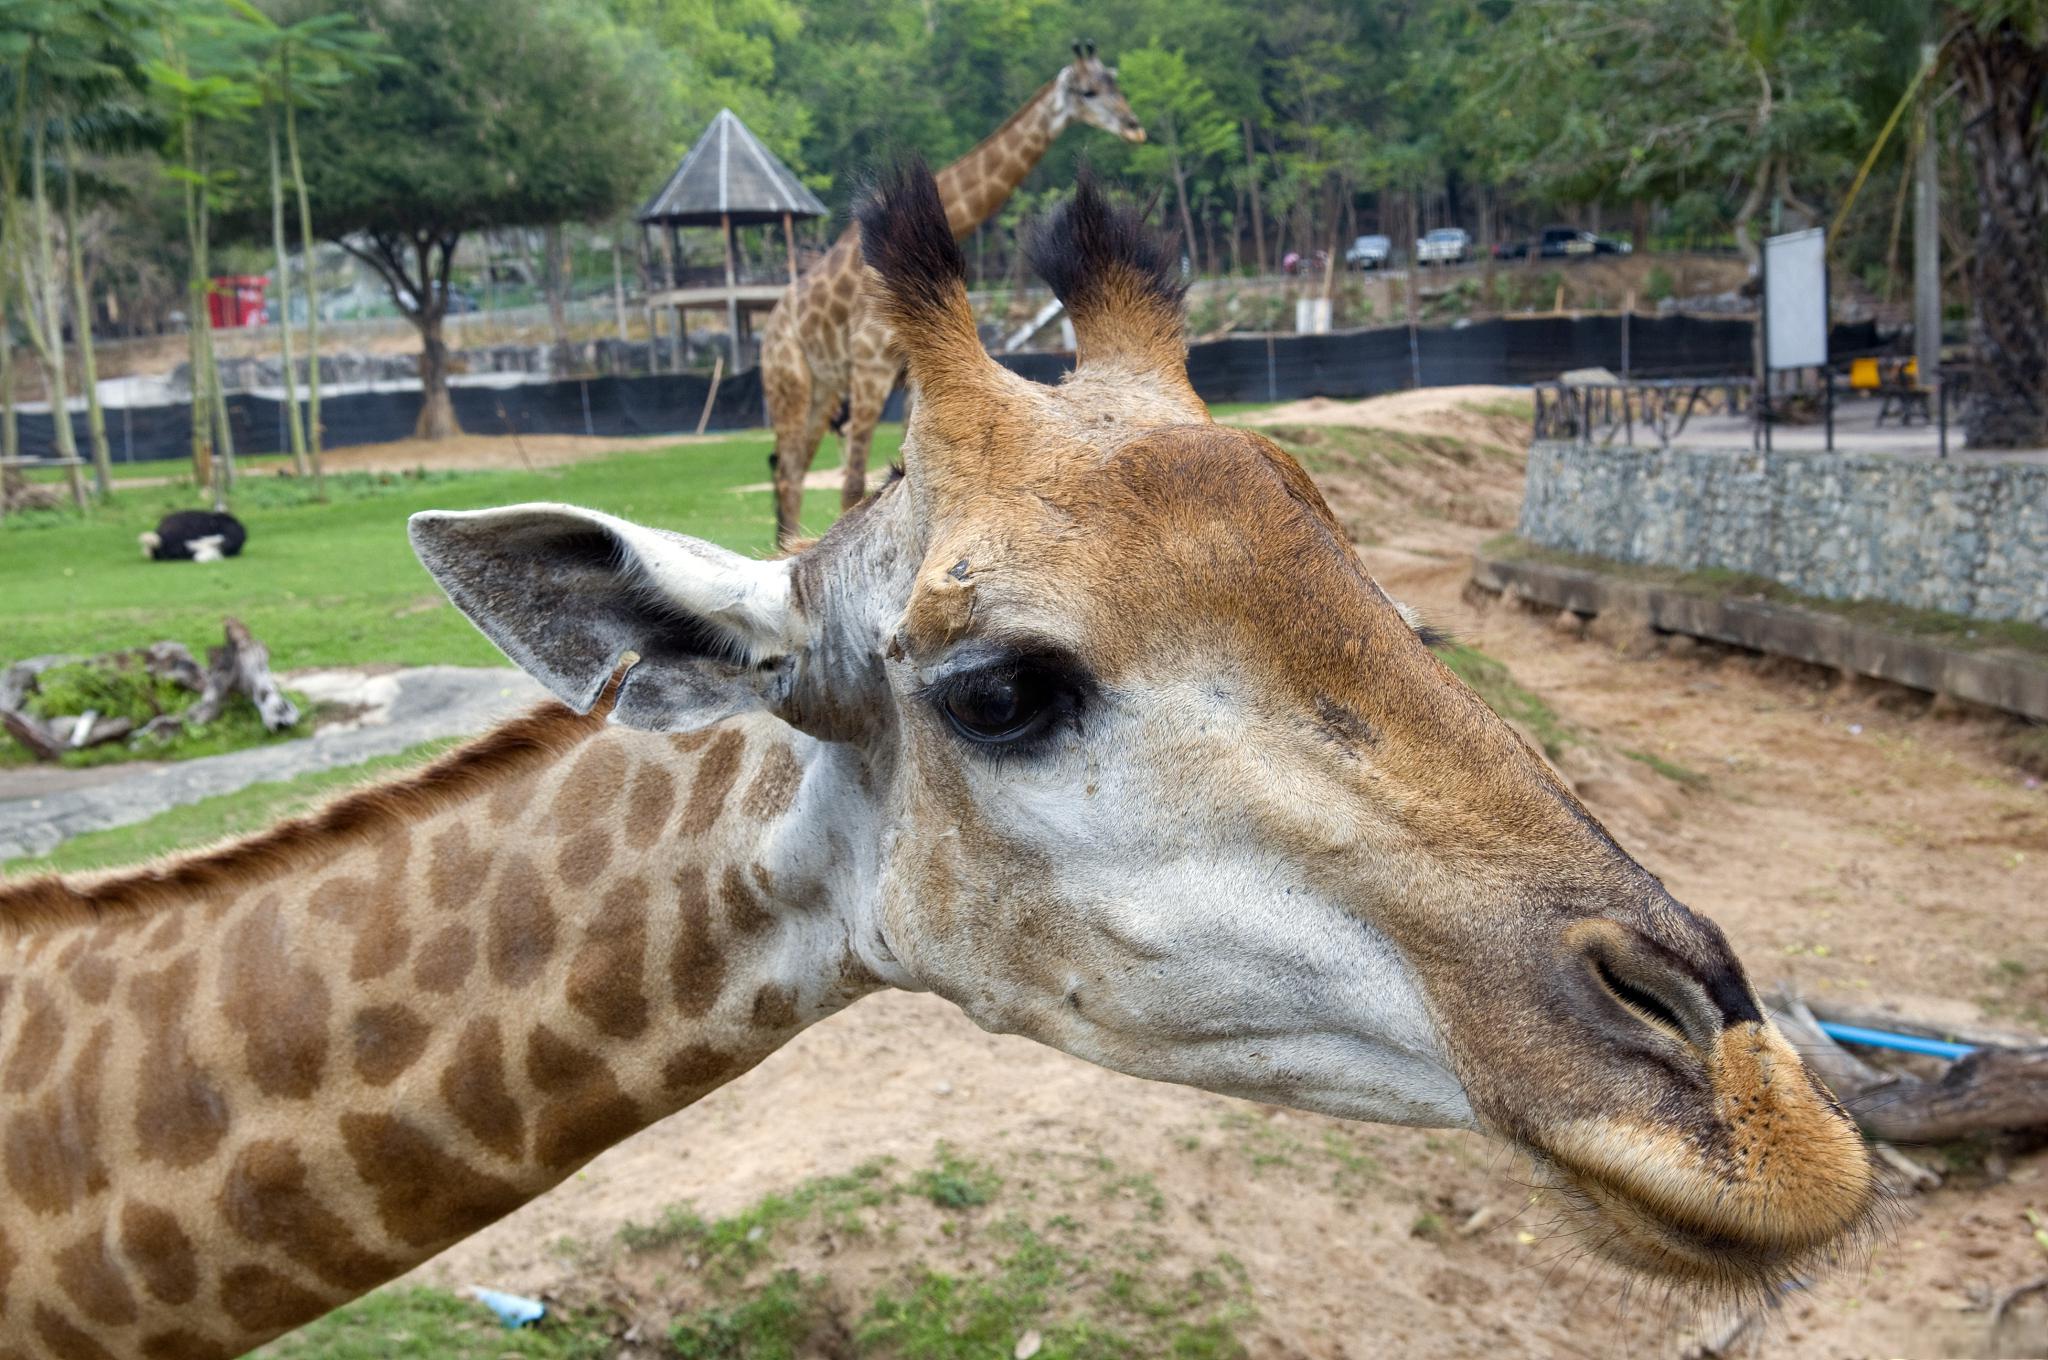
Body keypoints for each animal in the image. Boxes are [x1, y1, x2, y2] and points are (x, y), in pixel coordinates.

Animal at [757, 43, 1155, 540]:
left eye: (1114, 81)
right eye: (1088, 91)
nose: (1135, 127)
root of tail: (771, 325)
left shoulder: (910, 373)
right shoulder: (870, 367)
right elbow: (854, 485)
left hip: (824, 390)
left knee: (790, 470)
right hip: (789, 382)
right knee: (789, 471)